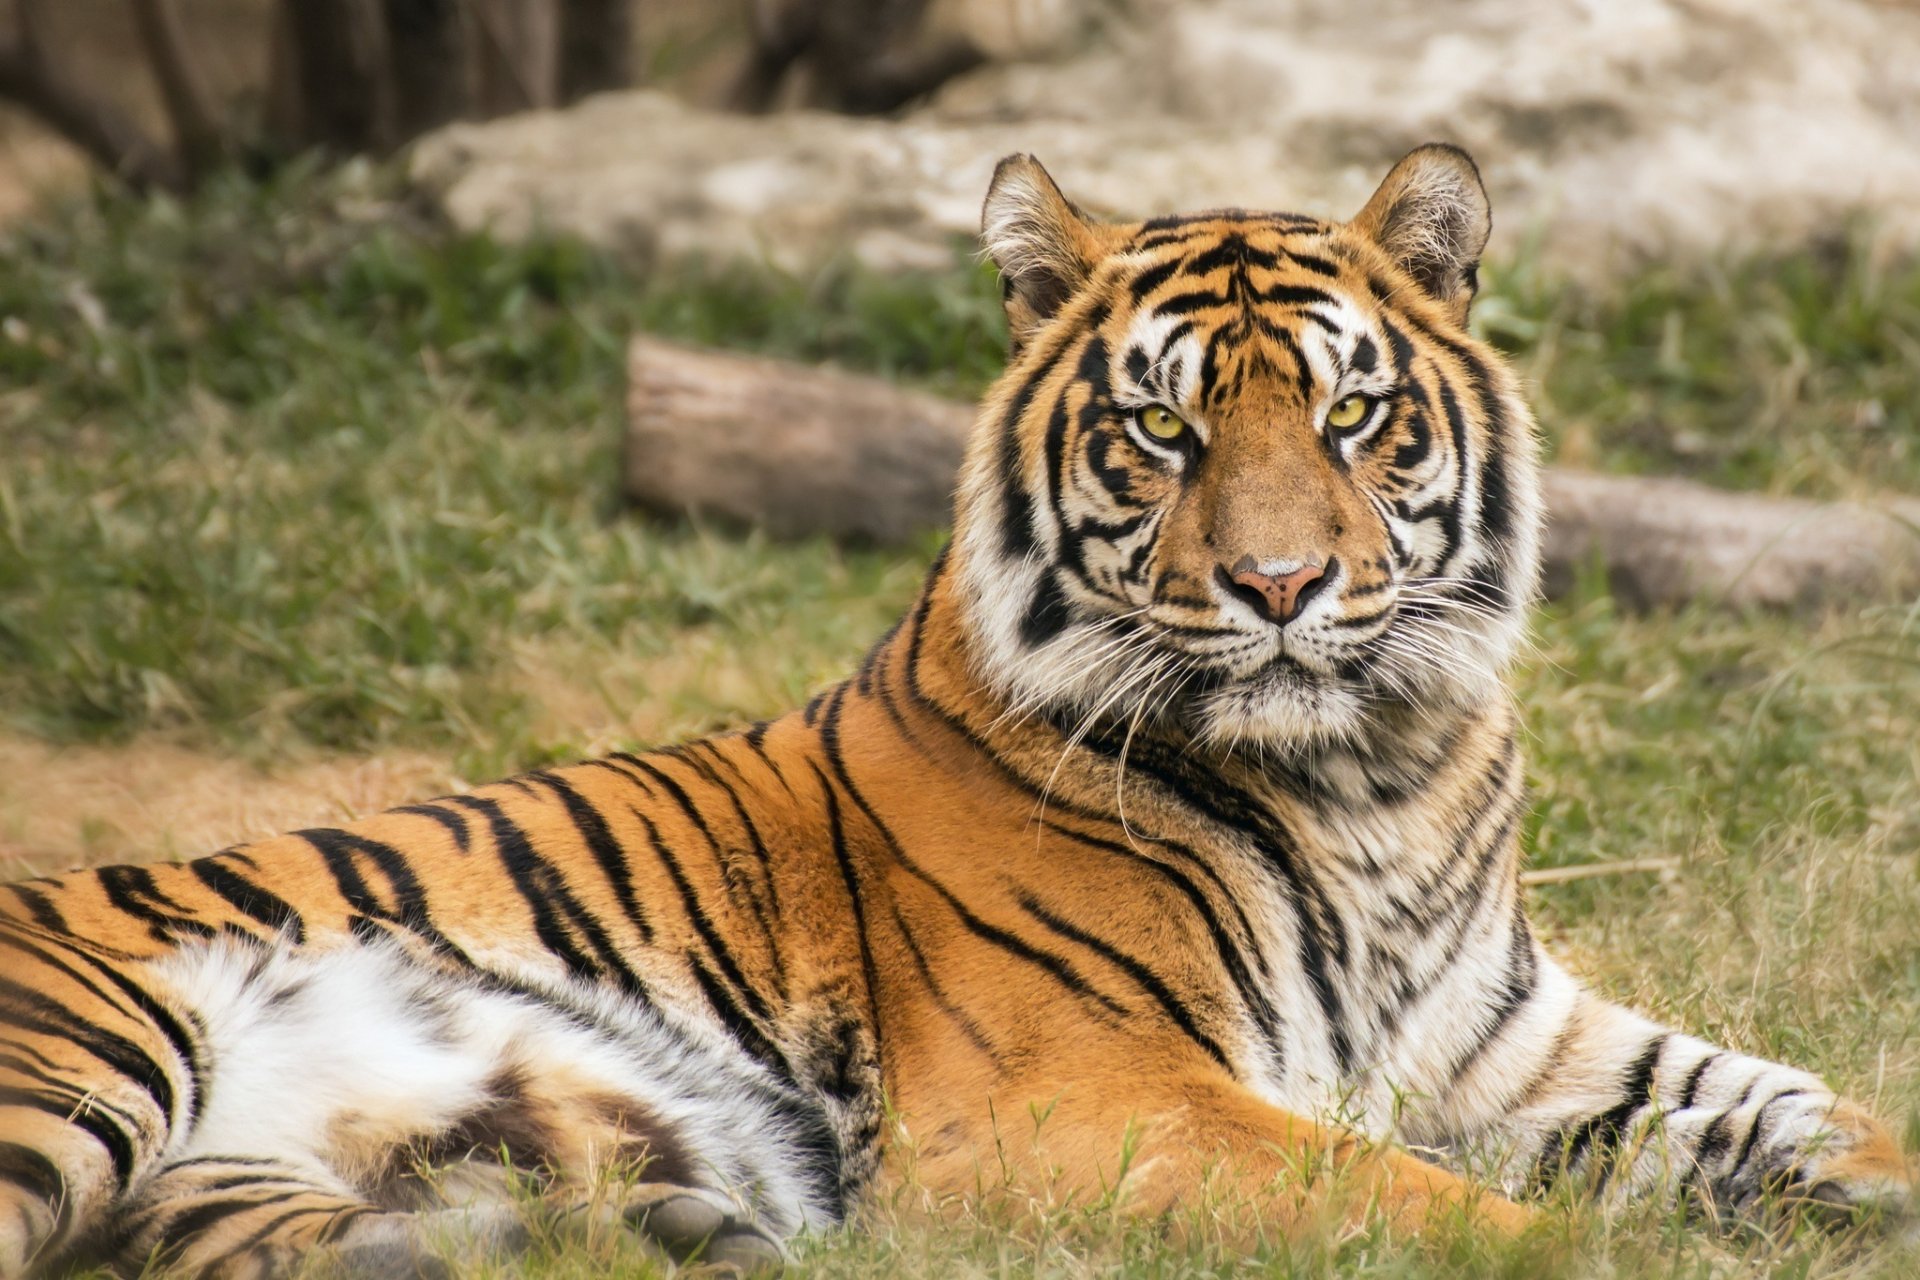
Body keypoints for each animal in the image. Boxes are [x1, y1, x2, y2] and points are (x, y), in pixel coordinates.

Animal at [1, 144, 1912, 1279]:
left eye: (1351, 417)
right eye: (1165, 430)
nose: (1281, 586)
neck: (1377, 773)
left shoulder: (1517, 1045)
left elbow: (1817, 1105)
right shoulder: (1093, 1099)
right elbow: (1422, 1204)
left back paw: (643, 1231)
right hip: (97, 1049)